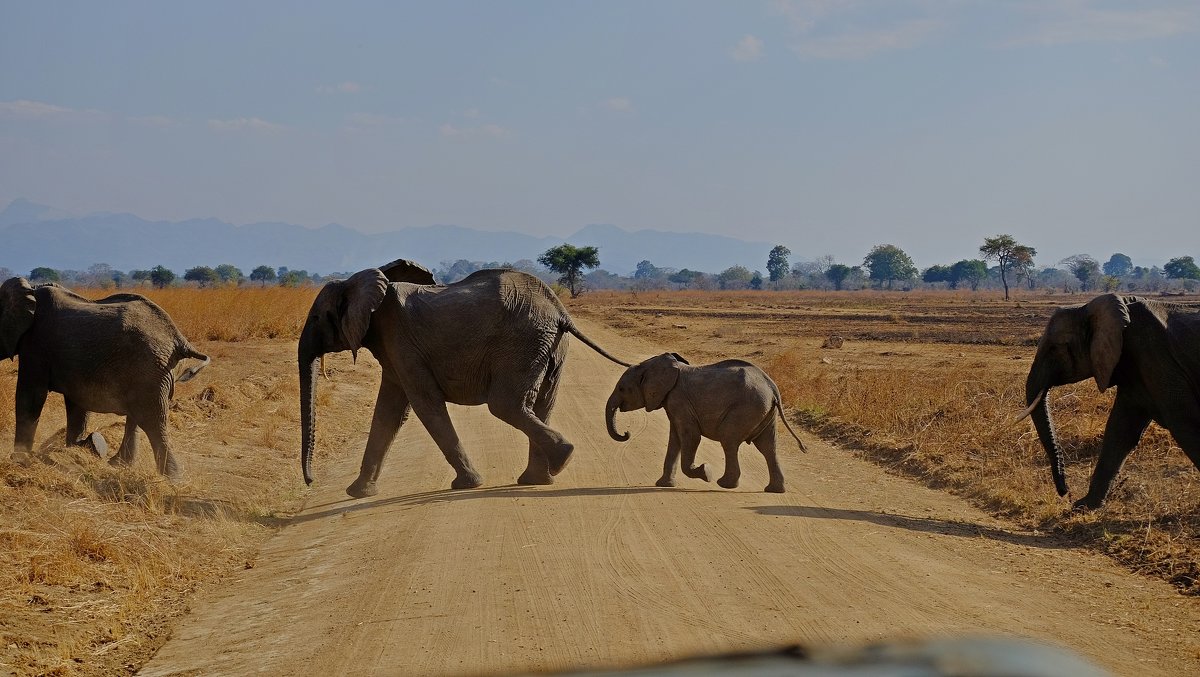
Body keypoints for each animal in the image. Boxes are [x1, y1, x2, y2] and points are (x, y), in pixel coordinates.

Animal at [0, 274, 210, 475]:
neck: (31, 289)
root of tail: (179, 340)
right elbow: (77, 404)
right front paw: (72, 451)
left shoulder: (36, 344)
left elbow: (31, 396)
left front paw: (19, 459)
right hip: (153, 371)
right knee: (138, 415)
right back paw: (118, 463)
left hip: (151, 368)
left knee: (153, 419)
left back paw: (172, 478)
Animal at [300, 259, 633, 496]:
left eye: (316, 317)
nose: (310, 481)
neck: (360, 283)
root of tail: (559, 309)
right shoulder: (394, 350)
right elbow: (389, 411)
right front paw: (357, 493)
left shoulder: (401, 343)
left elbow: (424, 405)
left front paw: (468, 484)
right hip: (548, 346)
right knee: (541, 404)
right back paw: (540, 477)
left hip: (521, 344)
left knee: (505, 405)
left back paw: (562, 459)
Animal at [604, 355, 811, 492]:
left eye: (622, 388)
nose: (626, 433)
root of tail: (772, 387)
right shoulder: (673, 403)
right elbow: (675, 439)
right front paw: (664, 485)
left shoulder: (679, 401)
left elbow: (690, 436)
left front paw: (706, 472)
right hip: (764, 411)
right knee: (768, 447)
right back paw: (774, 490)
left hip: (747, 408)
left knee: (729, 440)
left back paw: (723, 484)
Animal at [1022, 294, 1200, 511]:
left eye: (1055, 348)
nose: (1065, 492)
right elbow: (1120, 431)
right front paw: (1084, 506)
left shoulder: (1155, 356)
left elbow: (1184, 423)